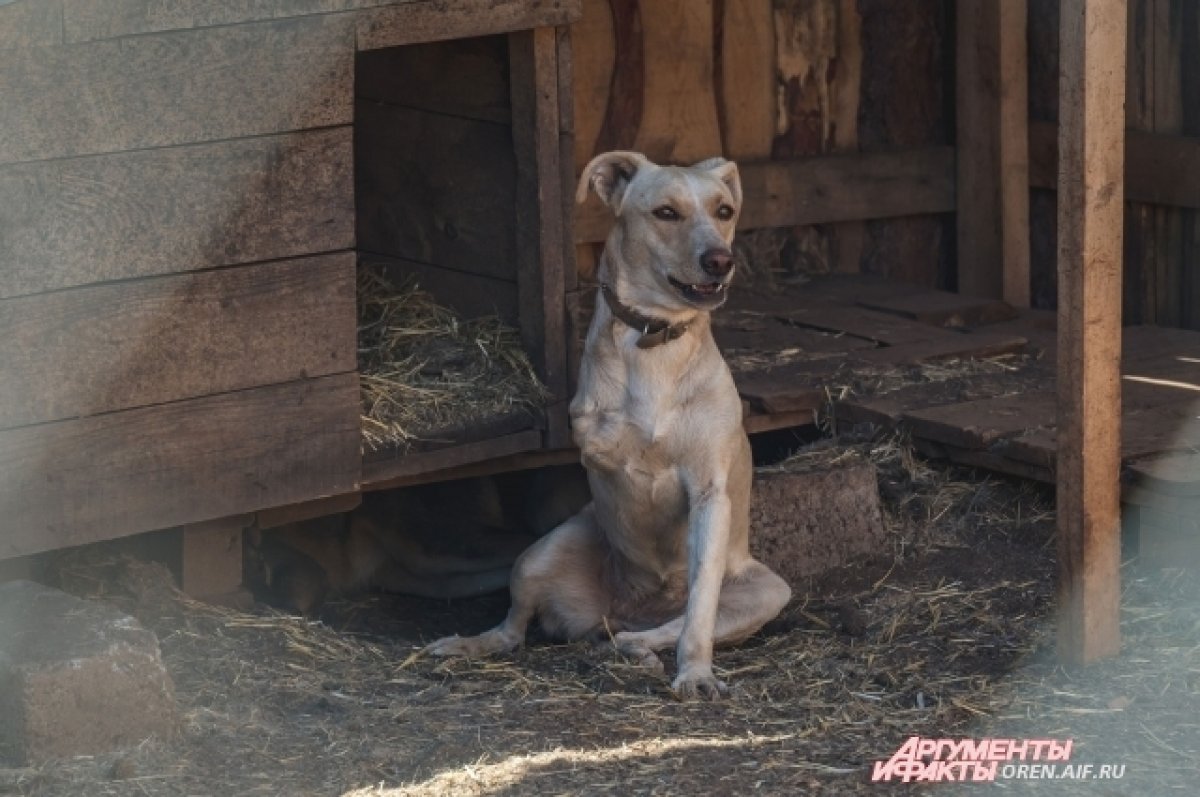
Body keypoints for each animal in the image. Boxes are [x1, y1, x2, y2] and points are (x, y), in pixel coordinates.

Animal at [427, 151, 792, 696]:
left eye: (724, 211)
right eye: (666, 213)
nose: (720, 260)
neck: (658, 342)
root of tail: (626, 613)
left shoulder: (710, 493)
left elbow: (698, 611)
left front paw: (696, 672)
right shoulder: (596, 450)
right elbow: (608, 447)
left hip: (768, 589)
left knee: (662, 630)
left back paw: (636, 649)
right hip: (539, 555)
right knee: (512, 629)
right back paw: (469, 644)